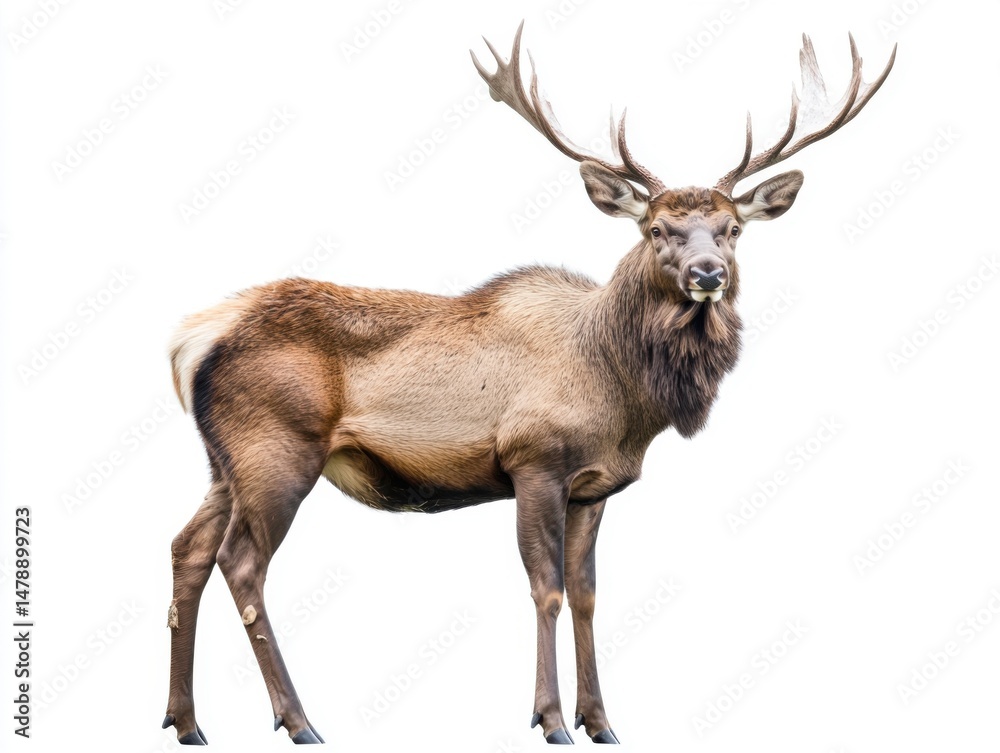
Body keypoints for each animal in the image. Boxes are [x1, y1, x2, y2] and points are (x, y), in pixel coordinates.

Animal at [162, 22, 895, 746]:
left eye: (732, 228)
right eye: (657, 228)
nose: (707, 273)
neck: (622, 392)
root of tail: (192, 338)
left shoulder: (594, 485)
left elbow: (588, 592)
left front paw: (602, 720)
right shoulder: (534, 461)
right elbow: (547, 588)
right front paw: (551, 719)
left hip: (224, 462)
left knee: (188, 548)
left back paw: (188, 720)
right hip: (277, 449)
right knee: (242, 563)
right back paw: (298, 719)